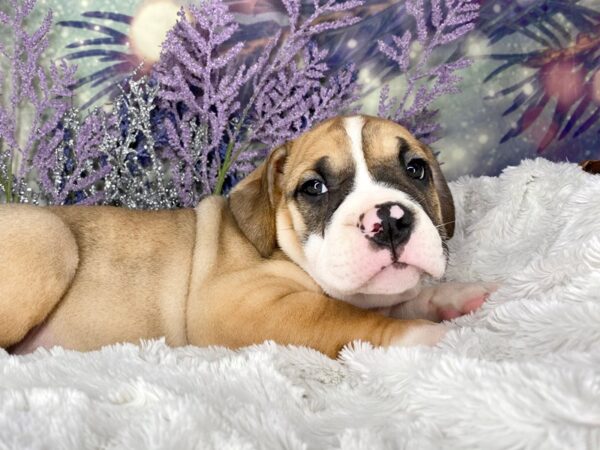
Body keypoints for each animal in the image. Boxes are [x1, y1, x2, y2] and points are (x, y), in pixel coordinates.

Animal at [0, 114, 494, 356]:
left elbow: (396, 299)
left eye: (416, 169)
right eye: (314, 188)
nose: (390, 219)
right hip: (50, 238)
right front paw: (427, 338)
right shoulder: (243, 305)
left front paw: (455, 296)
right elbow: (349, 320)